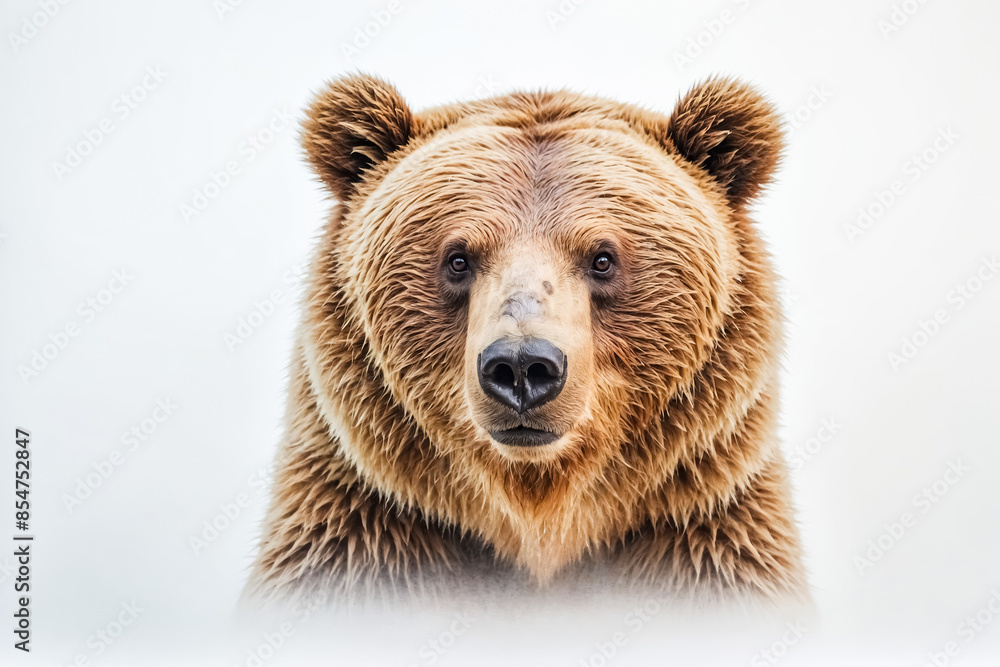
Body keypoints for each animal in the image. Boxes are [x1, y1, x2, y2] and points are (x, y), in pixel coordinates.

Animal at [246, 73, 805, 605]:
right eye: (458, 258)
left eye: (603, 258)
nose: (520, 367)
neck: (538, 513)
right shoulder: (361, 530)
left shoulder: (705, 531)